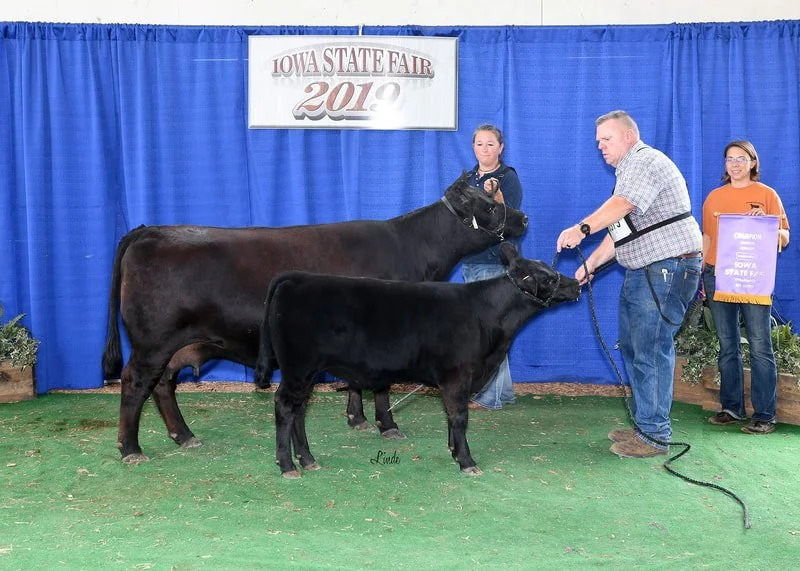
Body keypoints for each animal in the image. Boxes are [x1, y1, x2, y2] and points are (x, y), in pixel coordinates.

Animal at [103, 173, 528, 463]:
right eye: (490, 205)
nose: (523, 219)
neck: (412, 249)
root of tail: (149, 231)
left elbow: (360, 380)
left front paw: (356, 419)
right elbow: (382, 385)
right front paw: (387, 426)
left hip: (176, 343)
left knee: (163, 385)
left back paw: (184, 435)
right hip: (152, 341)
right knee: (135, 383)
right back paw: (131, 448)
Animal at [255, 242, 581, 478]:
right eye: (549, 278)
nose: (577, 284)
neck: (486, 314)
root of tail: (297, 277)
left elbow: (451, 417)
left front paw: (453, 451)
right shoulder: (457, 375)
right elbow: (459, 417)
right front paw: (467, 461)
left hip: (306, 373)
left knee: (298, 411)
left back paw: (308, 459)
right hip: (299, 368)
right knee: (285, 407)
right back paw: (288, 465)